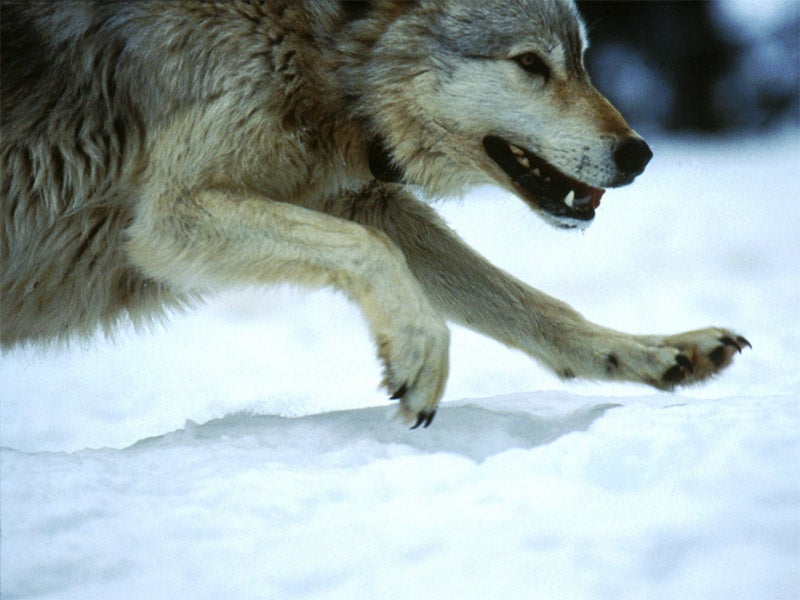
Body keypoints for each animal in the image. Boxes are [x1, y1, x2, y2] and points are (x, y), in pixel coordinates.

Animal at [1, 2, 752, 428]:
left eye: (582, 61)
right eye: (531, 64)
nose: (640, 154)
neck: (319, 42)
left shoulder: (358, 197)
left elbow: (536, 306)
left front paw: (656, 351)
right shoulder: (168, 218)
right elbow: (368, 251)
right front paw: (418, 354)